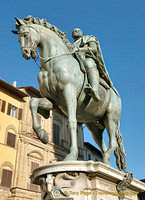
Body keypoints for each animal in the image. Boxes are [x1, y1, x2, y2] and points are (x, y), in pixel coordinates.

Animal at [11, 16, 126, 171]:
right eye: (18, 39)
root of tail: (116, 95)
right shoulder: (52, 100)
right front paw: (42, 135)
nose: (26, 53)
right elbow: (33, 103)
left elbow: (71, 122)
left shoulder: (69, 94)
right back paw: (105, 163)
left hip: (111, 118)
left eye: (25, 34)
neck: (54, 62)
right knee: (102, 144)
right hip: (93, 124)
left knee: (112, 142)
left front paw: (71, 155)